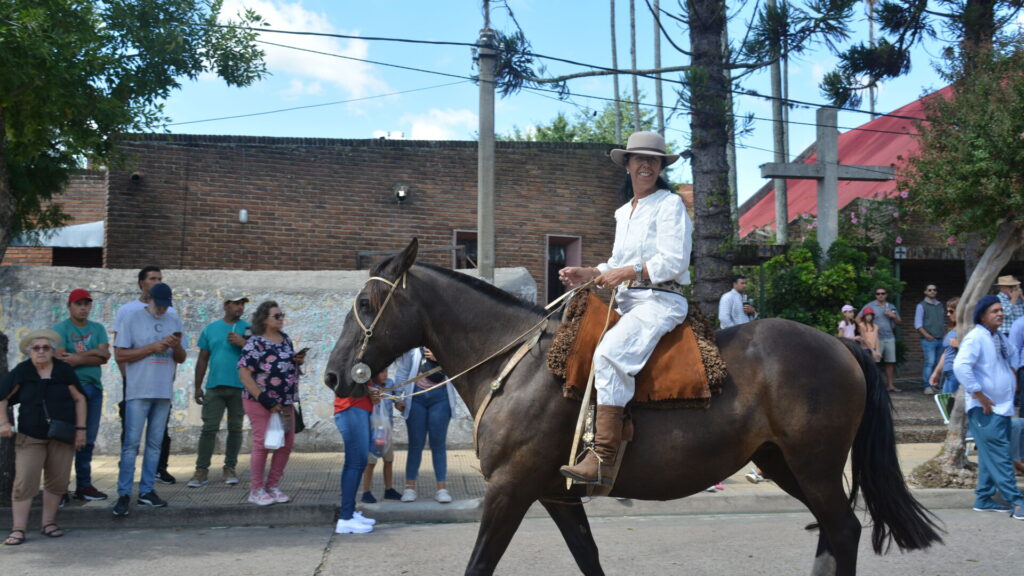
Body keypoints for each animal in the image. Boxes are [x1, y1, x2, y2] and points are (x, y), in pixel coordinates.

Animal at [324, 239, 942, 576]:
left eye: (365, 302)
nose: (333, 374)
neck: (516, 364)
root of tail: (842, 345)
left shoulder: (509, 490)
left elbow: (479, 564)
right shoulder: (555, 495)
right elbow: (589, 560)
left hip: (813, 465)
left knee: (844, 530)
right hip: (783, 463)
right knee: (833, 533)